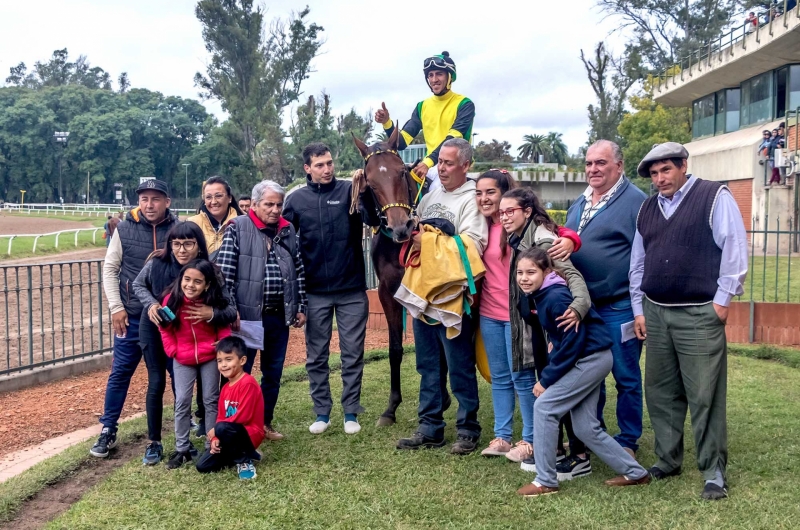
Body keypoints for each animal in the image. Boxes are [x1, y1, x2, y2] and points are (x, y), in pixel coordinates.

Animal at [352, 127, 450, 424]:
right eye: (370, 183)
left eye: (400, 172)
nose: (400, 228)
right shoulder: (388, 291)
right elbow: (395, 349)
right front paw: (391, 407)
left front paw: (442, 398)